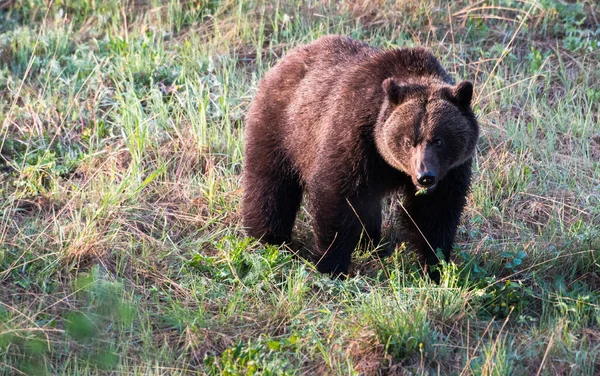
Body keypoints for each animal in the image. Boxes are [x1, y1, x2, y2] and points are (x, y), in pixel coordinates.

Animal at [240, 35, 478, 280]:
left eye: (438, 140)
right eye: (408, 141)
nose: (425, 176)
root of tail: (288, 57)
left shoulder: (451, 169)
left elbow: (435, 213)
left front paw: (434, 267)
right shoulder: (355, 137)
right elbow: (338, 197)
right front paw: (331, 265)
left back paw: (372, 244)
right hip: (283, 128)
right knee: (271, 186)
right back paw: (268, 239)